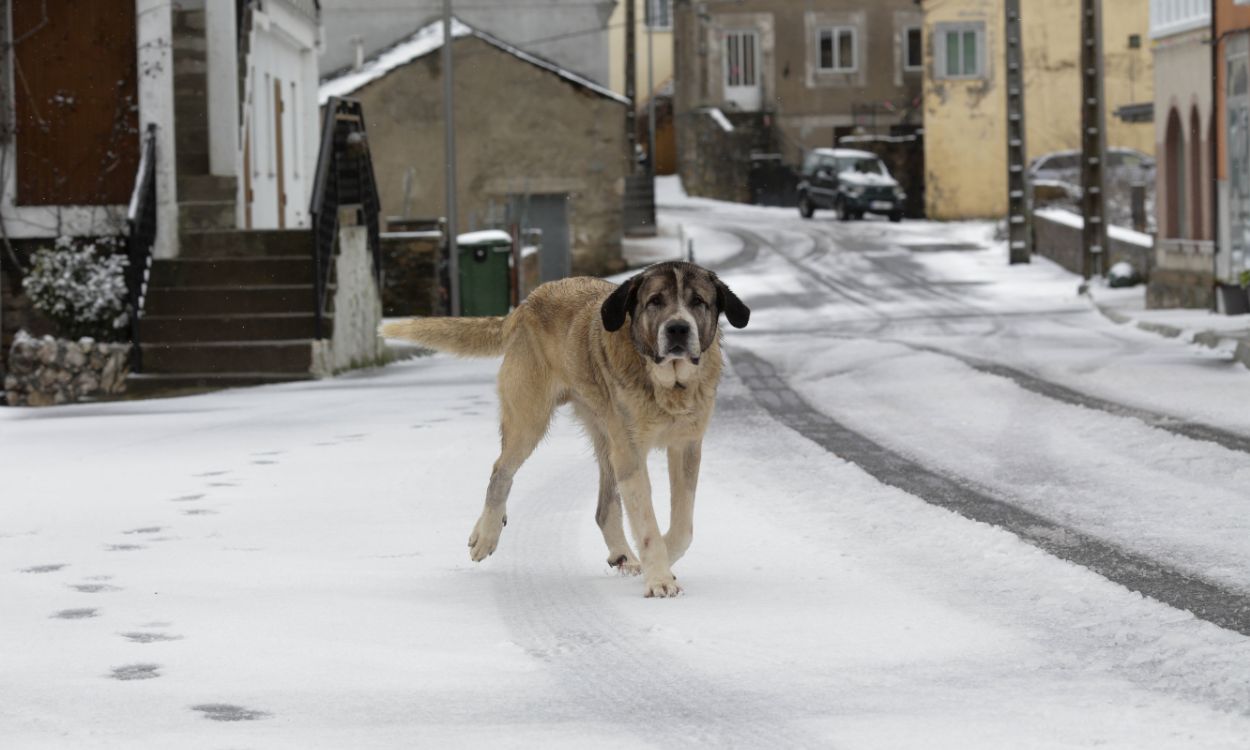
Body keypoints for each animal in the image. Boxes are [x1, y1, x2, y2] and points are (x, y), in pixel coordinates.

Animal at [380, 263, 745, 597]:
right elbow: (648, 526)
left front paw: (659, 562)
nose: (678, 329)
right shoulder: (631, 452)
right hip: (530, 419)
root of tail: (527, 302)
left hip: (604, 437)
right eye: (655, 301)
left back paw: (623, 556)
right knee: (501, 471)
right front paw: (659, 578)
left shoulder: (686, 446)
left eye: (698, 301)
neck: (668, 385)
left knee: (603, 509)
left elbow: (682, 527)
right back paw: (485, 536)